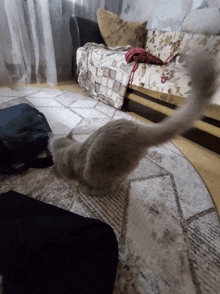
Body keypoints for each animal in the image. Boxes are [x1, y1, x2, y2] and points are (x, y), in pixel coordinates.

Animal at [47, 52, 217, 195]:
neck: (66, 147)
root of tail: (139, 129)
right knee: (120, 180)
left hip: (96, 172)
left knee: (109, 186)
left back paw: (93, 191)